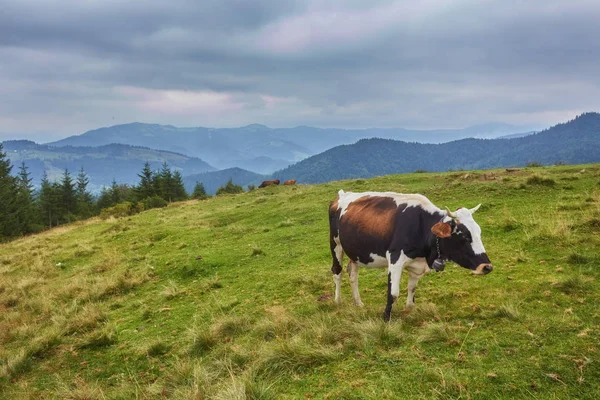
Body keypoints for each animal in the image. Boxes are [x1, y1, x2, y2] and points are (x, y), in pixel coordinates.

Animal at [328, 191, 492, 322]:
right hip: (336, 244)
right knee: (337, 271)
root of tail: (342, 194)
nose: (487, 267)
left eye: (479, 232)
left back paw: (358, 303)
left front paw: (409, 311)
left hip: (353, 251)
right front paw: (385, 318)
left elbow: (412, 288)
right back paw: (338, 301)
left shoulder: (416, 264)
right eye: (464, 236)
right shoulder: (395, 259)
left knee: (352, 275)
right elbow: (393, 293)